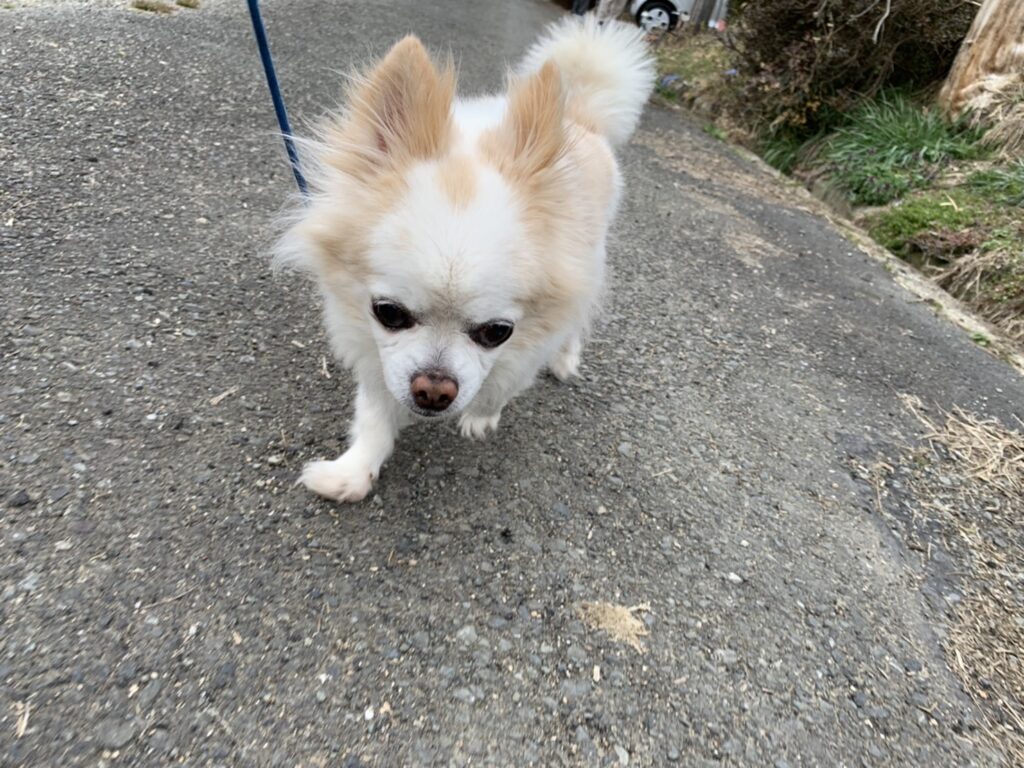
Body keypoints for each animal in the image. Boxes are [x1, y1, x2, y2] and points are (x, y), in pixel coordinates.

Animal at [274, 16, 654, 502]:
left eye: (496, 332)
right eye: (388, 313)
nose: (434, 391)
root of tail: (579, 116)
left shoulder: (529, 340)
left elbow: (502, 383)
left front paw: (481, 415)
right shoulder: (379, 352)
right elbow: (376, 412)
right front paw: (353, 472)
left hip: (592, 261)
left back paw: (566, 360)